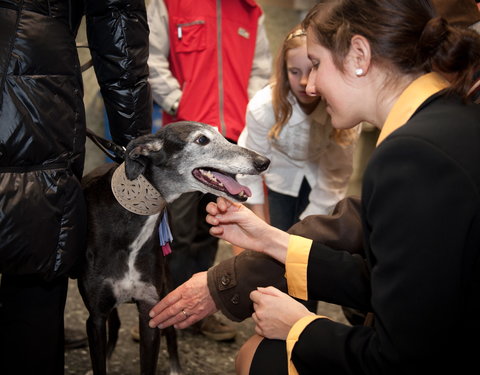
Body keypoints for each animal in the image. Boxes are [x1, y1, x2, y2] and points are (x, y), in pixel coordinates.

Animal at [77, 121, 268, 375]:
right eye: (201, 140)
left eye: (220, 134)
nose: (263, 162)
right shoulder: (95, 317)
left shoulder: (150, 310)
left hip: (166, 289)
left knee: (170, 333)